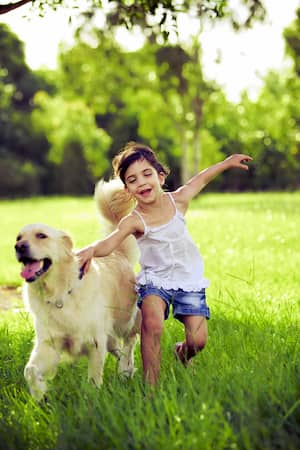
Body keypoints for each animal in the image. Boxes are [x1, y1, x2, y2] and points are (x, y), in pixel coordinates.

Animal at [14, 179, 141, 400]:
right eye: (18, 237)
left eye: (41, 235)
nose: (19, 247)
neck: (59, 291)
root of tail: (117, 253)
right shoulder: (50, 344)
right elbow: (29, 370)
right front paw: (39, 394)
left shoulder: (95, 341)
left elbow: (94, 378)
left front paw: (93, 399)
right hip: (109, 334)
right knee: (117, 348)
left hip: (124, 319)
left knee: (130, 339)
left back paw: (125, 369)